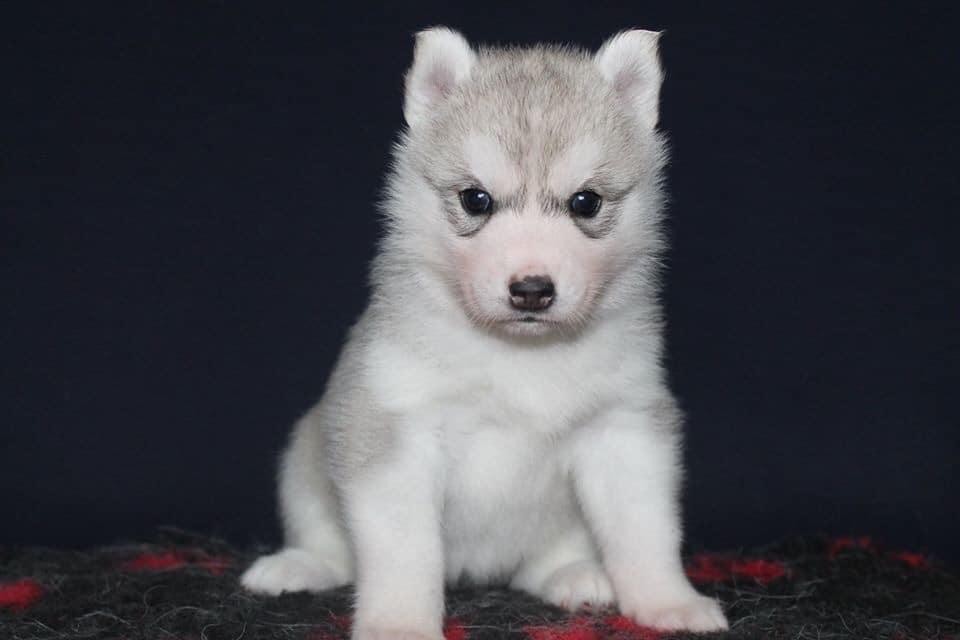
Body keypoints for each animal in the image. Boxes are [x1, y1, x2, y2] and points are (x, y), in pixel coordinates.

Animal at [240, 26, 728, 640]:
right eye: (476, 199)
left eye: (585, 201)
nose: (532, 289)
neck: (520, 354)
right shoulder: (394, 429)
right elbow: (405, 550)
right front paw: (400, 622)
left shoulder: (626, 426)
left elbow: (646, 528)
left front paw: (669, 602)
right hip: (304, 456)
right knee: (327, 542)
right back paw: (297, 565)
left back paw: (574, 574)